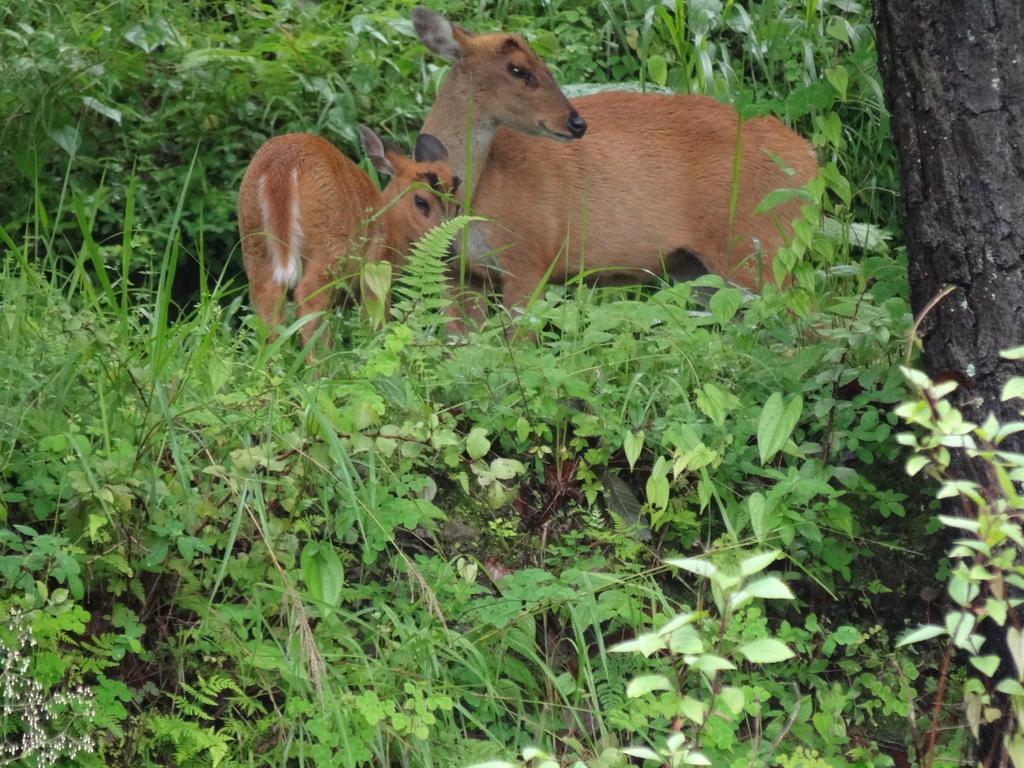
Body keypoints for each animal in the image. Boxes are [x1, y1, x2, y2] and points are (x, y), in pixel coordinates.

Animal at [237, 128, 458, 350]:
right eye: (421, 201)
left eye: (457, 205)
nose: (450, 252)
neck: (390, 226)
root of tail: (281, 165)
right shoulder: (375, 271)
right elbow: (376, 321)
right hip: (329, 243)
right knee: (308, 298)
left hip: (253, 241)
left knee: (267, 298)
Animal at [411, 8, 819, 309]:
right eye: (517, 68)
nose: (576, 122)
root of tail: (810, 162)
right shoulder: (460, 273)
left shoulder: (530, 257)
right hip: (698, 268)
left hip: (757, 248)